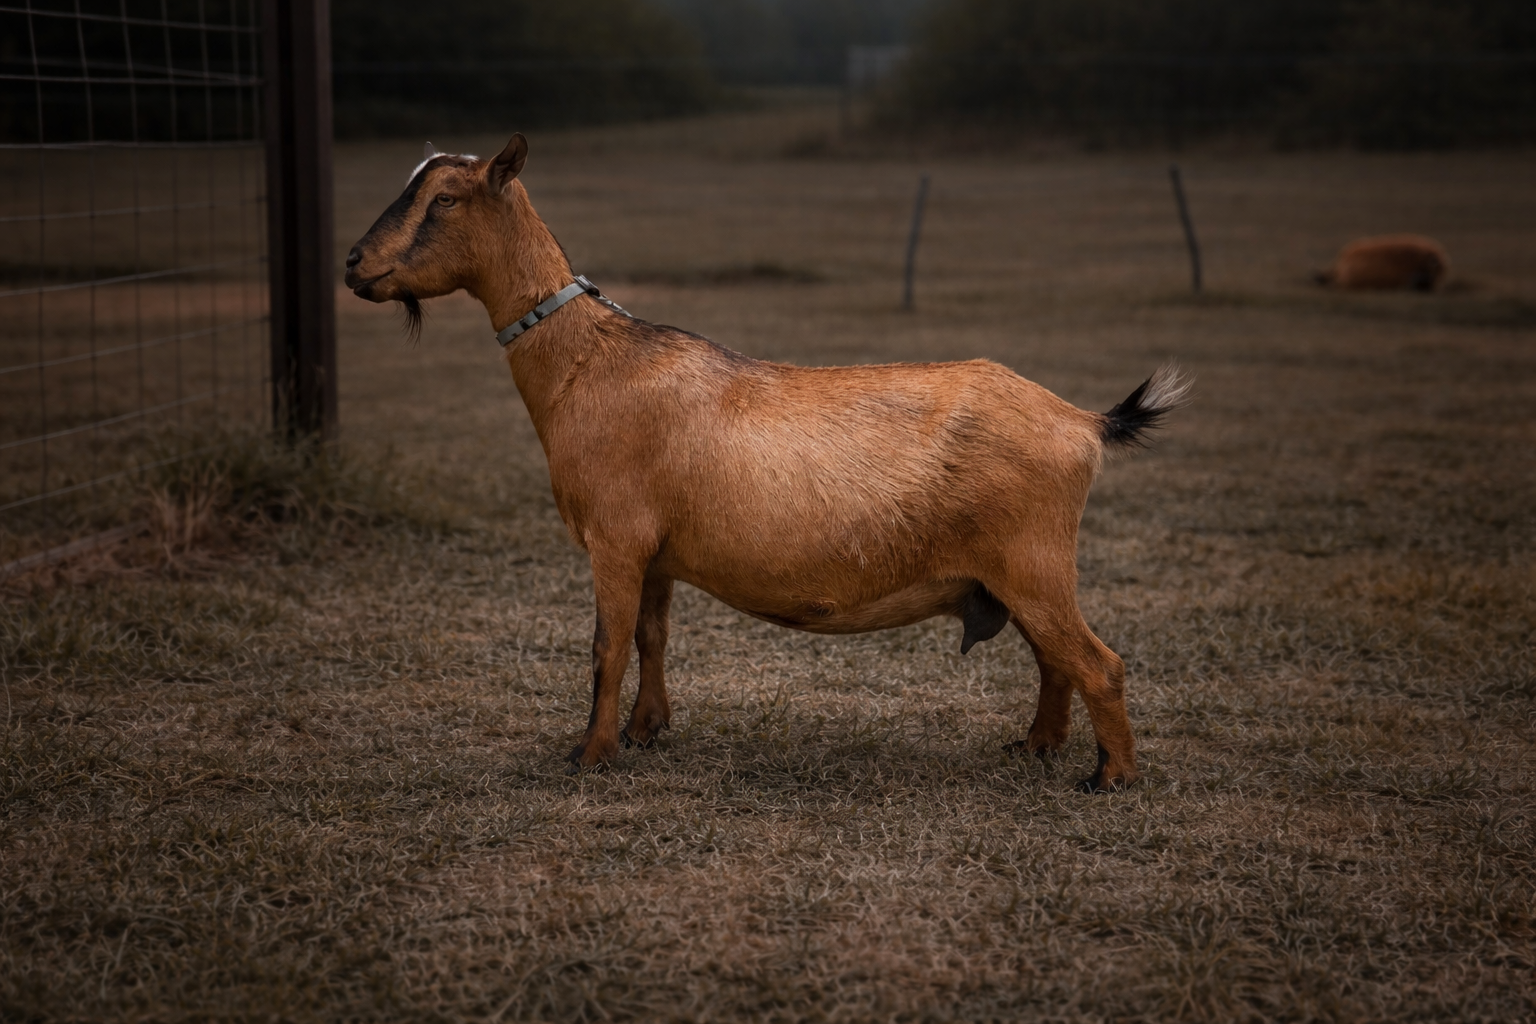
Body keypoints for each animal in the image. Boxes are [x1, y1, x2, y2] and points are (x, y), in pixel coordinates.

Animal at [344, 134, 1190, 792]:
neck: (589, 363)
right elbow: (652, 636)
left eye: (445, 199)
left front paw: (590, 756)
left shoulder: (613, 538)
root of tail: (1080, 422)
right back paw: (1036, 748)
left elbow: (605, 647)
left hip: (1031, 558)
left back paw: (1109, 776)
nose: (353, 264)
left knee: (1097, 662)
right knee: (1055, 660)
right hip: (1013, 570)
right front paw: (648, 731)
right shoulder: (654, 552)